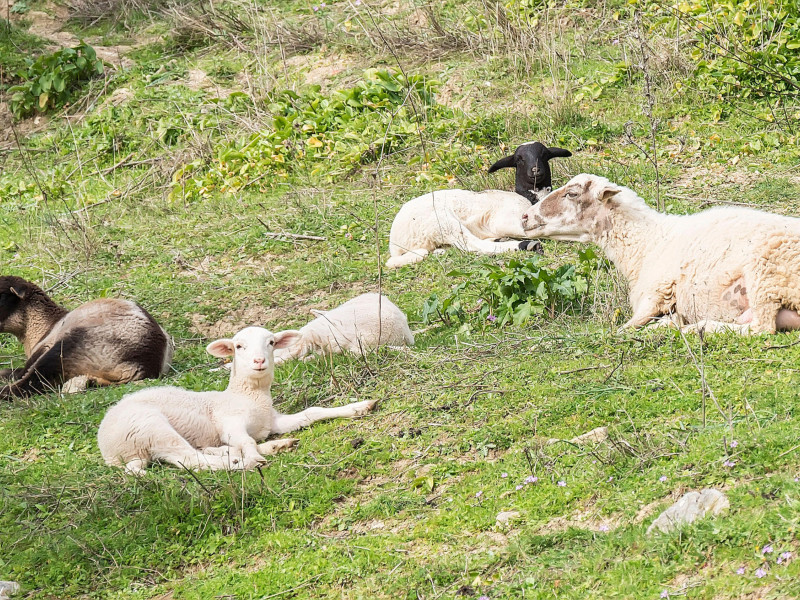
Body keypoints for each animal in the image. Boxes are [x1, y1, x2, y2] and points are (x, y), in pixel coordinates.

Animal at [0, 276, 174, 398]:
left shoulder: (45, 347)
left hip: (72, 348)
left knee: (33, 381)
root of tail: (145, 364)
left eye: (1, 297)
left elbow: (21, 372)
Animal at [97, 326, 378, 476]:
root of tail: (109, 450)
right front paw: (252, 457)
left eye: (271, 342)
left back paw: (272, 446)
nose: (259, 361)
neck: (247, 397)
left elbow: (312, 412)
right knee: (192, 460)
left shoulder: (272, 421)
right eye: (239, 346)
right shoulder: (230, 423)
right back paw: (239, 461)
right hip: (151, 428)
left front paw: (359, 407)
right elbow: (246, 441)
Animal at [520, 173, 800, 336]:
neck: (648, 243)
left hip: (765, 274)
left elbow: (623, 329)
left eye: (572, 194)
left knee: (762, 328)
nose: (524, 217)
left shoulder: (655, 294)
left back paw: (697, 328)